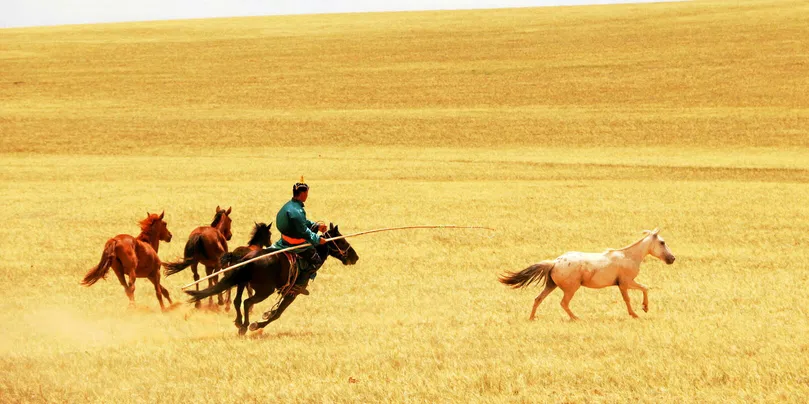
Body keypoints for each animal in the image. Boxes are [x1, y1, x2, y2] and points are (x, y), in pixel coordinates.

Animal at [186, 223, 359, 335]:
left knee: (237, 301)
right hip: (264, 290)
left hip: (242, 281)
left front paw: (264, 316)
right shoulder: (293, 292)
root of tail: (248, 259)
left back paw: (238, 321)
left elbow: (274, 311)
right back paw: (245, 326)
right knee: (246, 302)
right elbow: (278, 313)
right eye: (341, 240)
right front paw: (257, 324)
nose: (355, 257)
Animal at [499, 229, 676, 320]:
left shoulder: (623, 284)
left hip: (551, 285)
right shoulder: (626, 282)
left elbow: (639, 292)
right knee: (563, 303)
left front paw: (641, 310)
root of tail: (554, 262)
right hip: (571, 288)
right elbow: (639, 292)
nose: (672, 258)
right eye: (662, 242)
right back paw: (576, 318)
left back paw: (532, 318)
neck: (629, 256)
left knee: (538, 299)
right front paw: (640, 311)